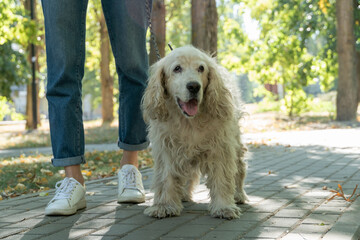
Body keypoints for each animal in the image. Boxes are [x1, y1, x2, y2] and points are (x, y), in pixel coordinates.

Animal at [141, 45, 248, 219]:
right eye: (177, 68)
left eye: (201, 68)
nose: (194, 86)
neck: (189, 122)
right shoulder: (167, 148)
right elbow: (166, 178)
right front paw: (164, 205)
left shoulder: (220, 147)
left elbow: (222, 177)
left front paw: (224, 207)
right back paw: (183, 195)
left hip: (236, 142)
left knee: (239, 167)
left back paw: (238, 194)